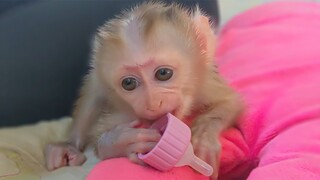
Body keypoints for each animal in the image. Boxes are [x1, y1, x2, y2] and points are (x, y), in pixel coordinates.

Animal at [44, 2, 240, 179]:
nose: (152, 103)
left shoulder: (205, 84)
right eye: (129, 83)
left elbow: (231, 103)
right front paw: (121, 142)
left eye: (163, 73)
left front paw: (204, 135)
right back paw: (68, 145)